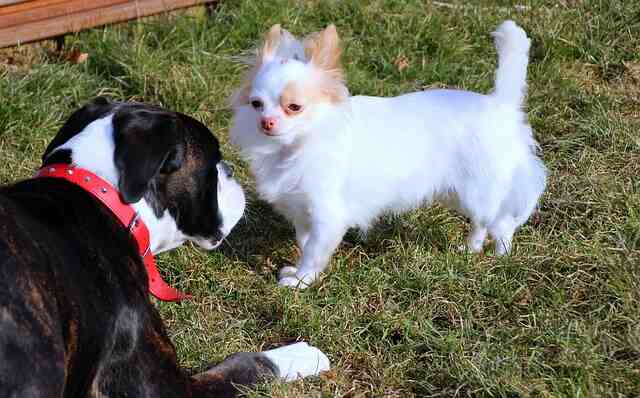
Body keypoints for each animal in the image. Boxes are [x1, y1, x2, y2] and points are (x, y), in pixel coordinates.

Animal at [0, 97, 328, 398]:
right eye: (213, 164)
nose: (231, 169)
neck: (108, 197)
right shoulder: (170, 387)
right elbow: (247, 365)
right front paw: (301, 354)